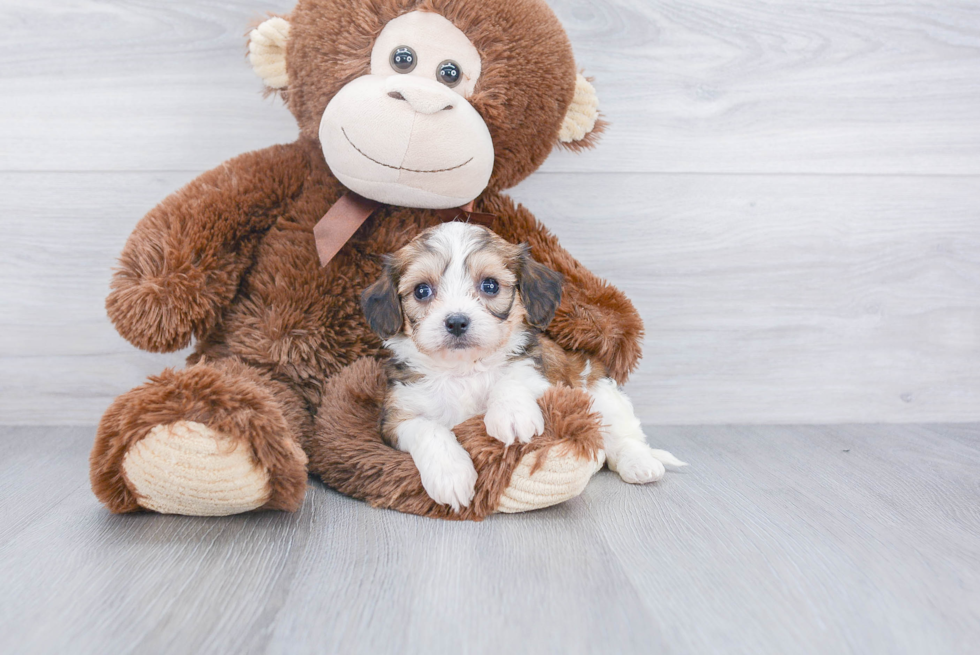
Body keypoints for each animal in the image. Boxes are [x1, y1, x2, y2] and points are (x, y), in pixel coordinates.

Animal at [358, 223, 680, 516]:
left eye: (490, 285)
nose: (457, 322)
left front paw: (511, 415)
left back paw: (640, 464)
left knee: (624, 437)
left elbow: (512, 379)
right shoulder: (396, 416)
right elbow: (427, 429)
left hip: (602, 395)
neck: (463, 370)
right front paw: (451, 474)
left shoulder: (548, 383)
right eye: (422, 291)